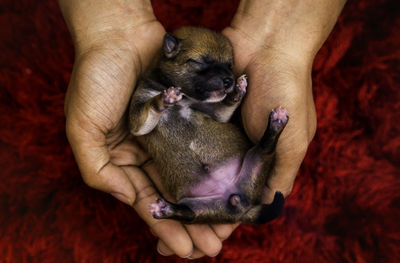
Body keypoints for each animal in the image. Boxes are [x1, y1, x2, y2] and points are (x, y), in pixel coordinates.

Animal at [128, 27, 288, 225]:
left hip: (255, 162)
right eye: (201, 61)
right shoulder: (138, 118)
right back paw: (166, 209)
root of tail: (239, 205)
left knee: (266, 149)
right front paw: (165, 97)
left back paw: (276, 123)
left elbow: (224, 106)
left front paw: (238, 90)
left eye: (229, 66)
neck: (186, 98)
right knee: (187, 213)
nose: (229, 81)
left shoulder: (217, 114)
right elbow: (147, 111)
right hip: (200, 210)